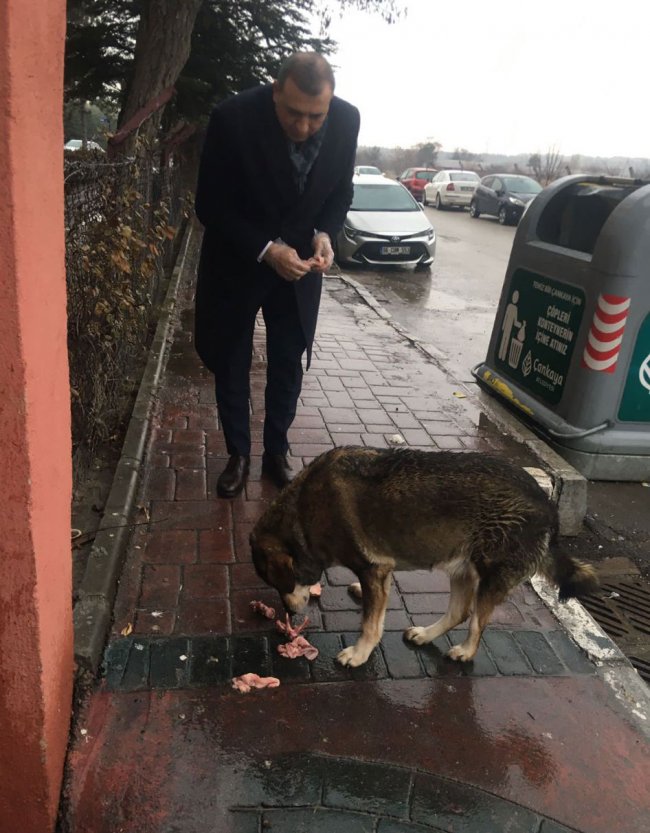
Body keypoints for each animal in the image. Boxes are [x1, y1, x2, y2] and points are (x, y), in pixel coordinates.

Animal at [250, 447, 598, 668]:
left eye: (280, 584)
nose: (289, 613)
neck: (302, 516)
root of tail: (548, 505)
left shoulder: (373, 567)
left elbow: (370, 624)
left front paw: (360, 653)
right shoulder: (380, 571)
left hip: (490, 578)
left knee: (476, 622)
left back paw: (465, 651)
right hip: (462, 569)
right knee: (459, 612)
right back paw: (426, 634)